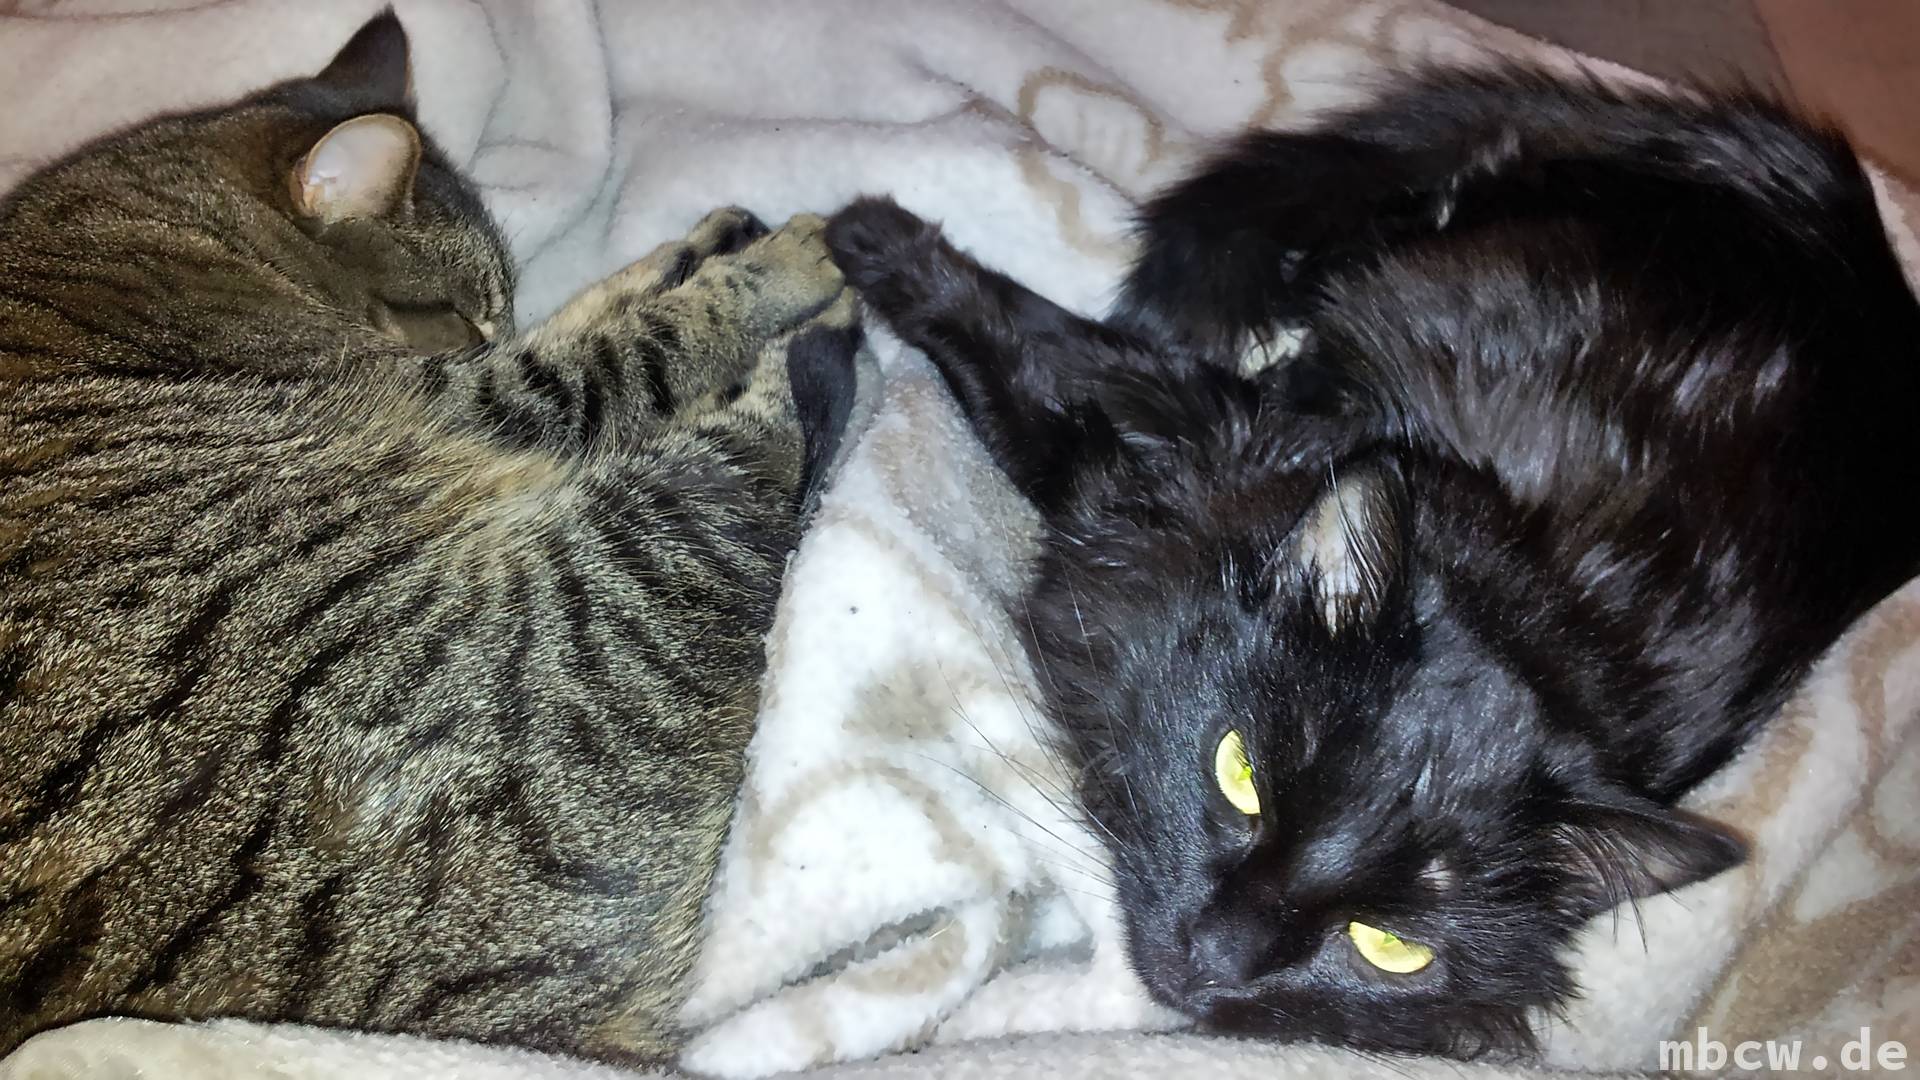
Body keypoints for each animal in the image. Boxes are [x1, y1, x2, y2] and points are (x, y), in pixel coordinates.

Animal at [0, 10, 858, 1065]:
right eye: (460, 311)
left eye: (492, 309)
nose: (495, 330)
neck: (165, 228)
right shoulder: (496, 398)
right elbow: (638, 342)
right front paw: (777, 265)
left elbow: (601, 311)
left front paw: (699, 246)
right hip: (605, 587)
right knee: (764, 455)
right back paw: (818, 330)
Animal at [824, 65, 1920, 1058]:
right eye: (1240, 775)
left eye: (1390, 947)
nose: (1218, 955)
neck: (1531, 594)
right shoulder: (1181, 457)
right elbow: (1030, 349)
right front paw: (867, 233)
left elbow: (1028, 371)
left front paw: (870, 239)